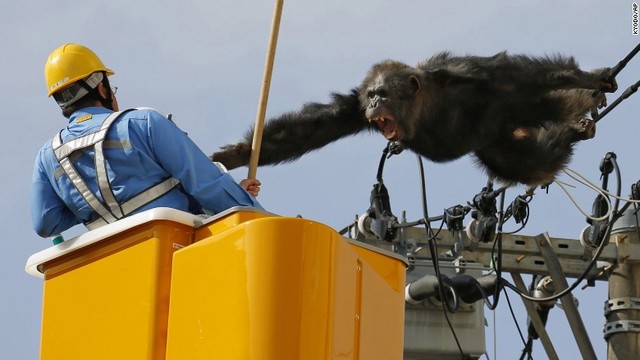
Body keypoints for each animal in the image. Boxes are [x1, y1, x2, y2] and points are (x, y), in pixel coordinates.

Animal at [211, 51, 616, 186]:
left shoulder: (472, 76)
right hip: (497, 143)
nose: (375, 104)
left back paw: (578, 118)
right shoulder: (353, 109)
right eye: (371, 94)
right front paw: (236, 154)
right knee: (528, 163)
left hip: (518, 110)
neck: (425, 107)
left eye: (383, 93)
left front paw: (587, 78)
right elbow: (309, 129)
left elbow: (516, 75)